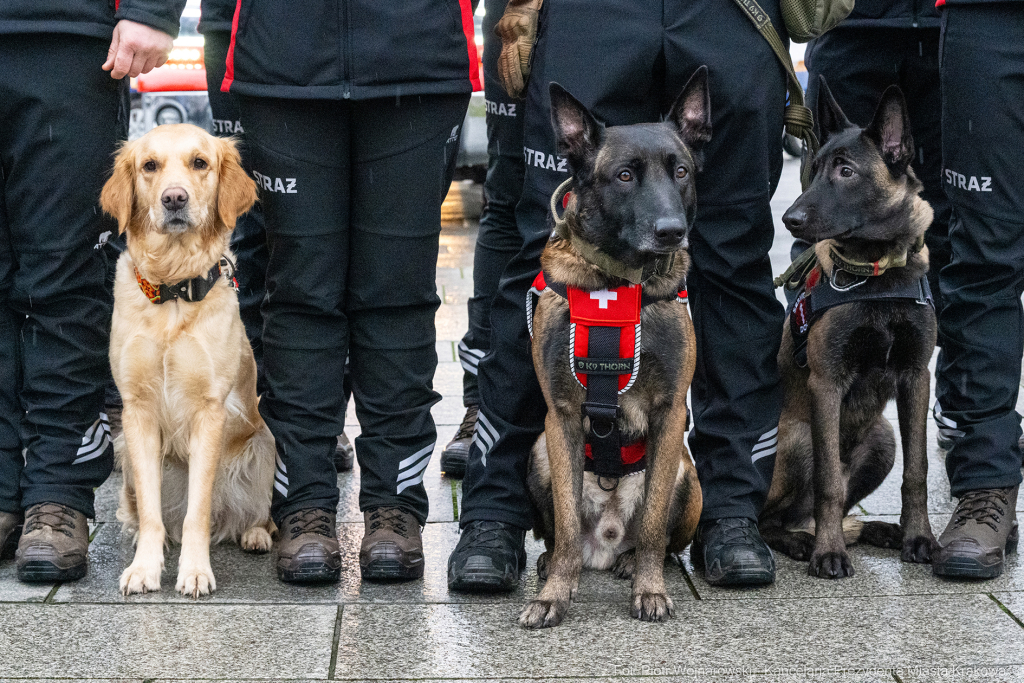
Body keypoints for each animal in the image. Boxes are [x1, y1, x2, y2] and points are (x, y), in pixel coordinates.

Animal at [524, 66, 708, 626]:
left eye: (681, 172)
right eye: (625, 176)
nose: (672, 231)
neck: (616, 280)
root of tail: (603, 546)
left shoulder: (670, 415)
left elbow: (651, 527)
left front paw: (650, 589)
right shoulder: (560, 417)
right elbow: (564, 526)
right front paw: (554, 597)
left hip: (687, 476)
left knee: (661, 538)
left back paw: (631, 564)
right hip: (538, 453)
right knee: (559, 535)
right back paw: (553, 565)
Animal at [761, 81, 937, 581]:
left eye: (846, 171)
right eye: (815, 168)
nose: (790, 219)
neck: (878, 276)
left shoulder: (917, 377)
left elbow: (917, 471)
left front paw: (919, 538)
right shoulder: (827, 385)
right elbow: (827, 484)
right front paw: (828, 553)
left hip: (882, 438)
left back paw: (875, 531)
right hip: (798, 437)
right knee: (775, 518)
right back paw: (803, 541)